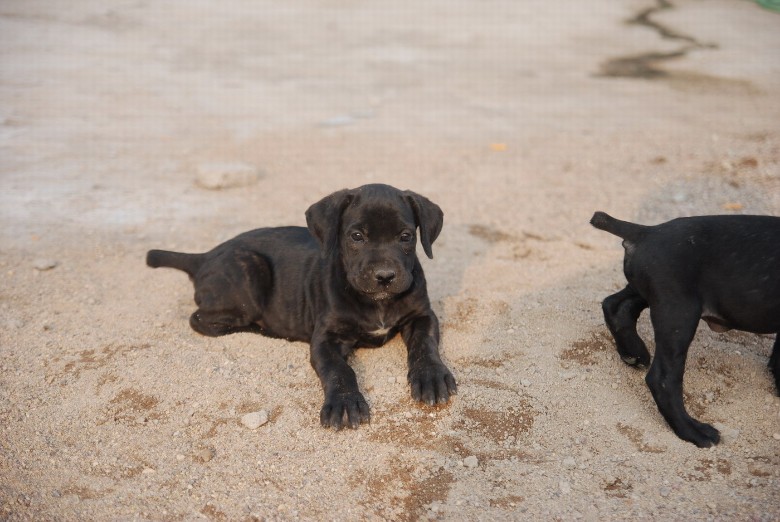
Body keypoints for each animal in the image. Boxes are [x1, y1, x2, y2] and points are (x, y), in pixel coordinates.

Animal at [147, 184, 457, 429]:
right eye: (356, 236)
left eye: (406, 236)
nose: (384, 276)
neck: (376, 302)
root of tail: (205, 256)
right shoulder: (326, 339)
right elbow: (339, 370)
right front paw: (345, 403)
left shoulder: (422, 316)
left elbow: (425, 345)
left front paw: (431, 377)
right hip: (249, 272)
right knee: (200, 319)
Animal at [591, 211, 780, 447]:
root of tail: (646, 232)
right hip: (679, 313)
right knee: (663, 379)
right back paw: (693, 431)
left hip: (651, 295)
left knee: (616, 306)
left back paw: (634, 353)